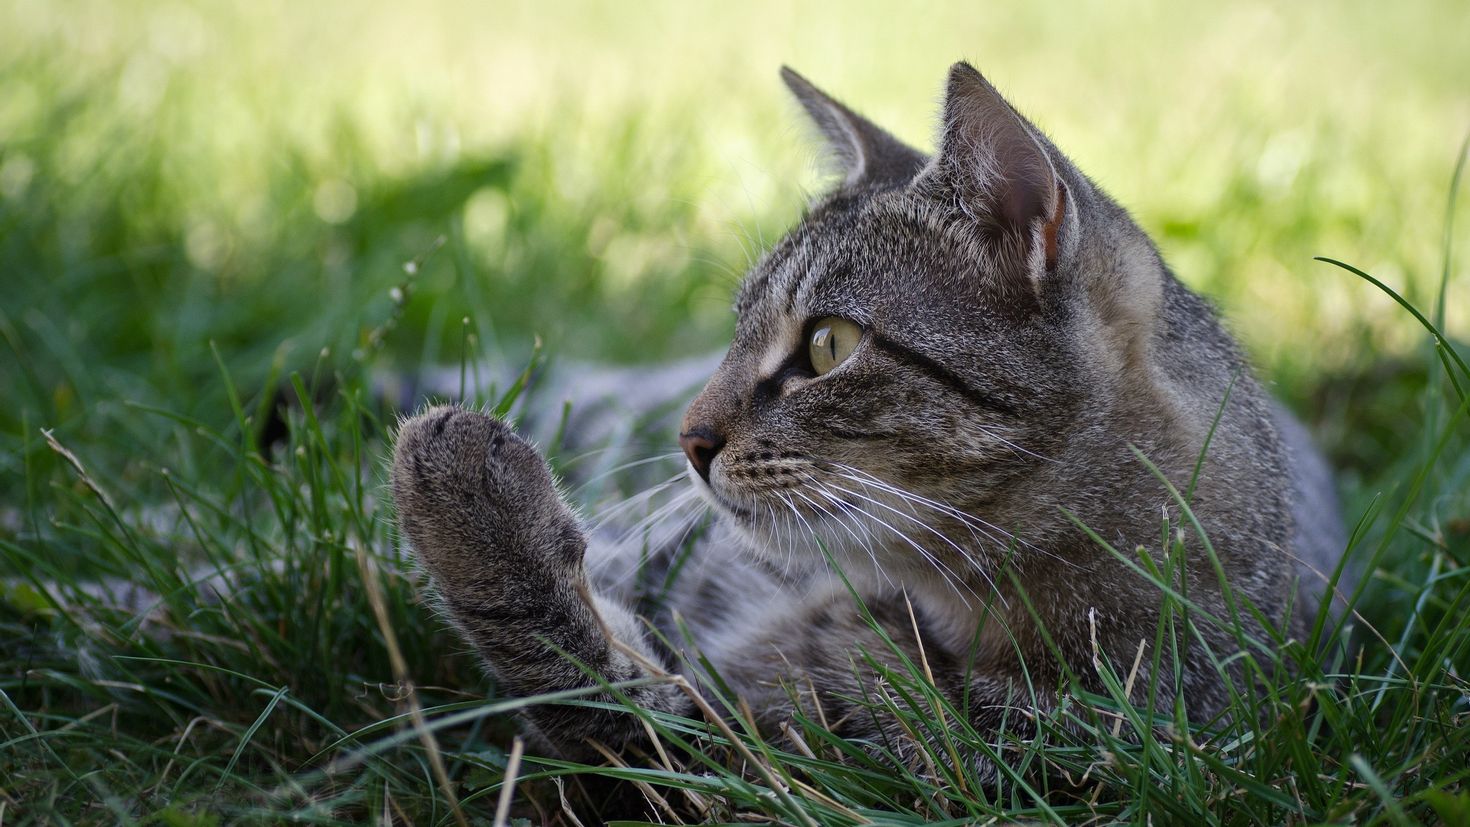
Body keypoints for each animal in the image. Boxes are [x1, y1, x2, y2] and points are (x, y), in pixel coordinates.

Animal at [385, 63, 1346, 781]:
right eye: (734, 328)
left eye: (827, 345)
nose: (688, 441)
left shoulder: (803, 762)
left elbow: (603, 701)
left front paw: (463, 496)